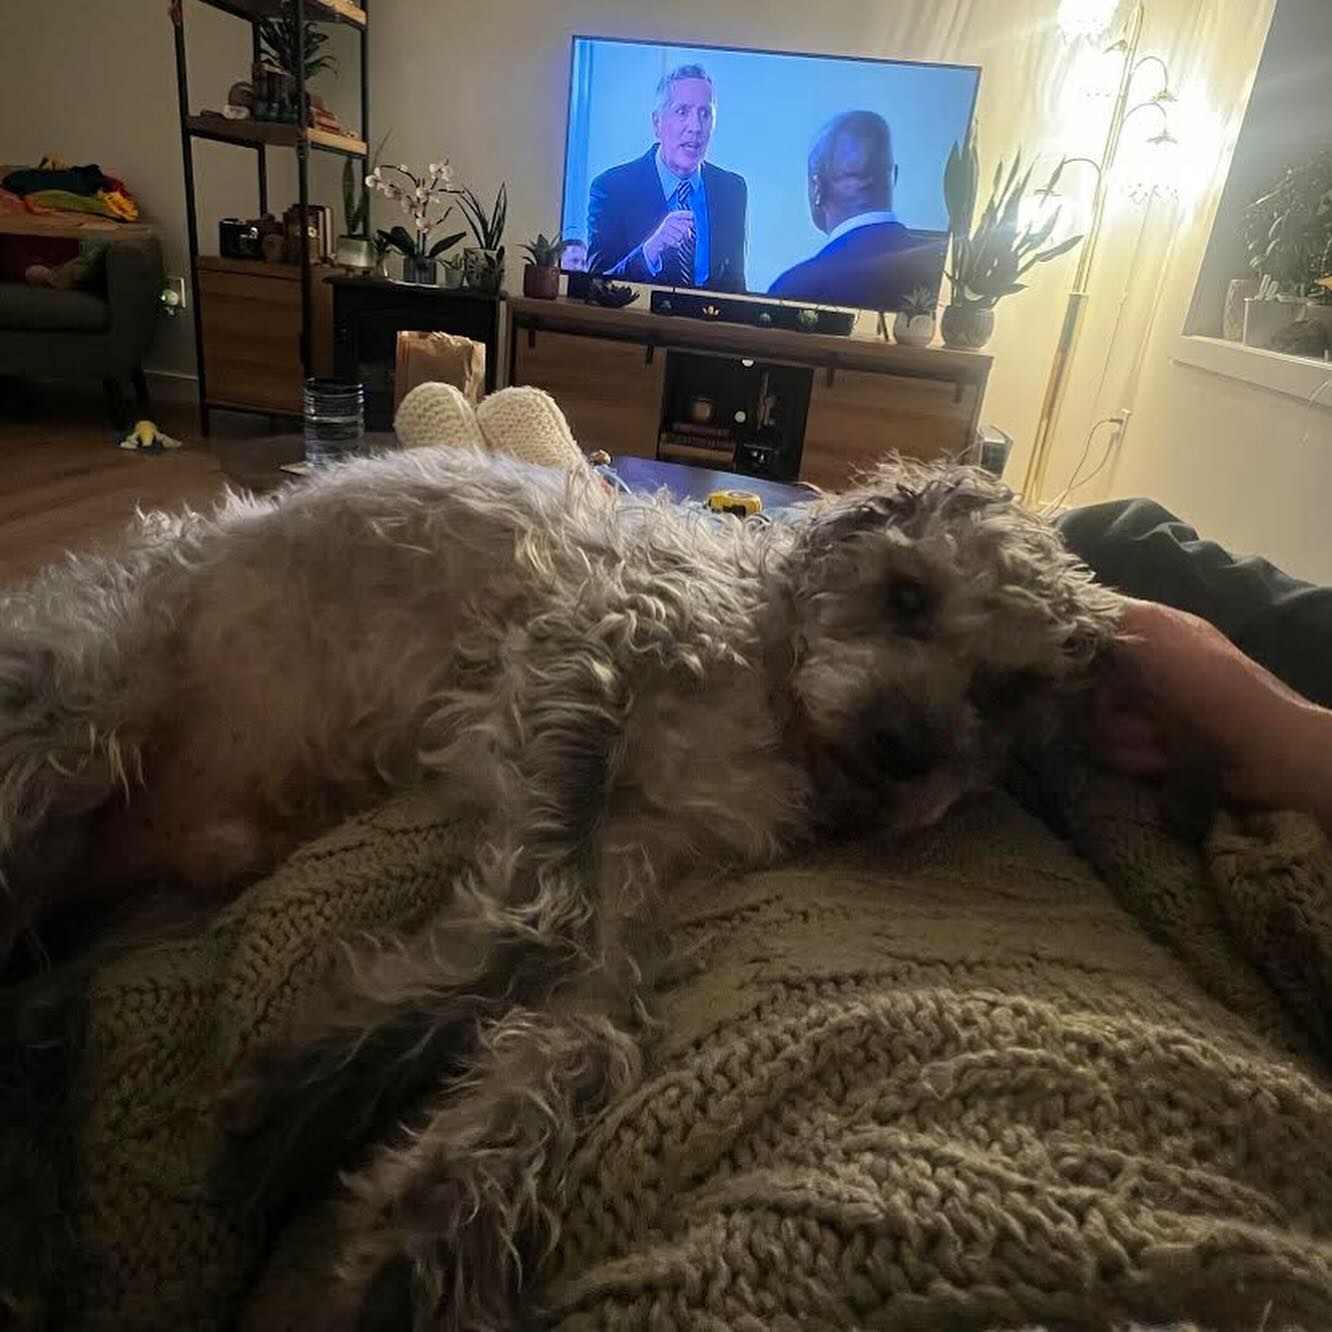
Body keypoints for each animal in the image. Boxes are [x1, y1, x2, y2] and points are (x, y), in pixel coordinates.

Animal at [0, 447, 1124, 1321]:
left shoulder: (638, 860)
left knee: (35, 1024)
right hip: (71, 724)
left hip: (137, 918)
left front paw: (434, 1216)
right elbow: (534, 929)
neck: (773, 697)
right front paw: (322, 1085)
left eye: (1008, 688)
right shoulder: (580, 668)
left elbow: (593, 1033)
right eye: (907, 594)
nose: (906, 752)